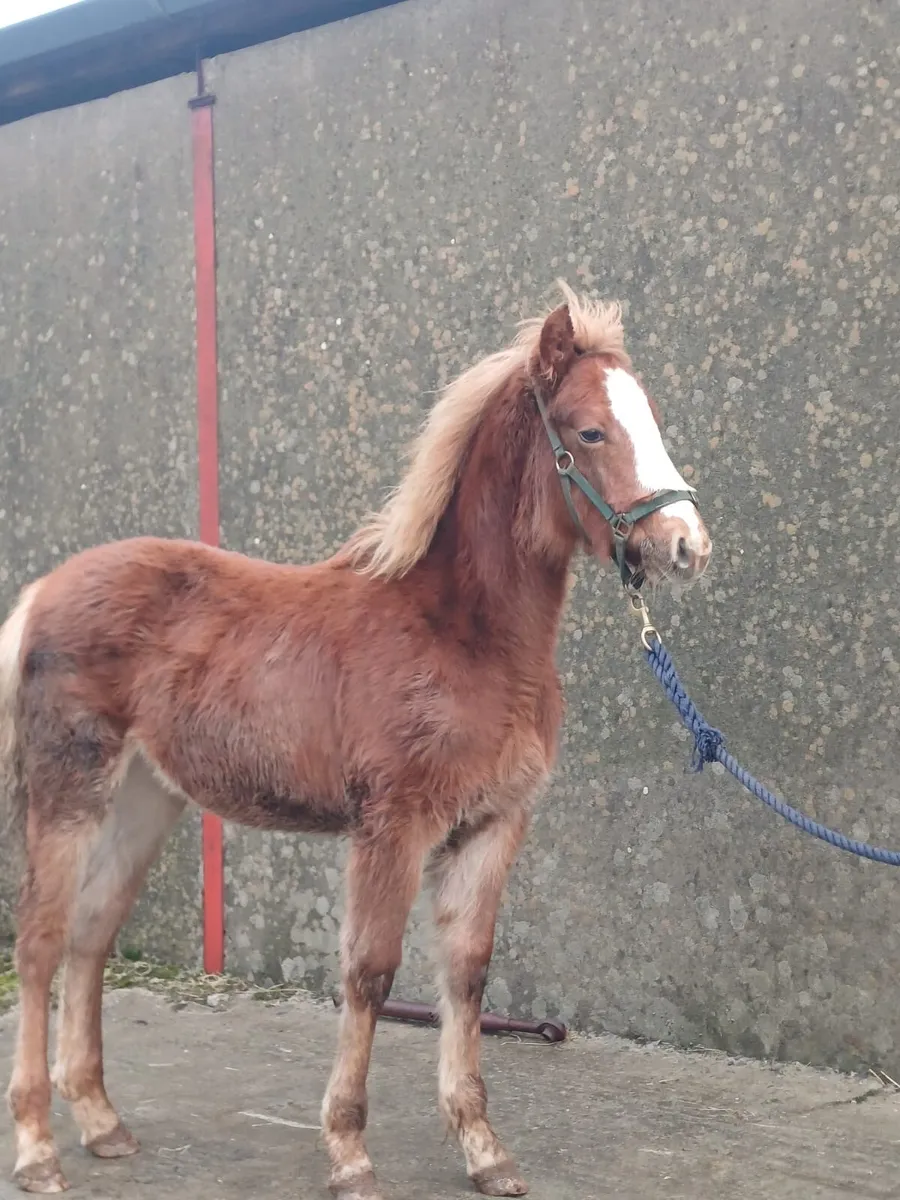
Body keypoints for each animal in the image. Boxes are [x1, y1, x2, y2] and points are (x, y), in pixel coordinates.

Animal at [0, 281, 711, 1199]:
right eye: (590, 432)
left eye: (650, 419)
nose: (687, 545)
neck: (464, 632)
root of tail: (45, 589)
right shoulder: (392, 827)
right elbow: (369, 974)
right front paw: (348, 1152)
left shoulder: (492, 825)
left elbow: (467, 973)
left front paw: (485, 1150)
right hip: (70, 791)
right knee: (40, 941)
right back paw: (38, 1149)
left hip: (144, 799)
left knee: (90, 933)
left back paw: (101, 1122)